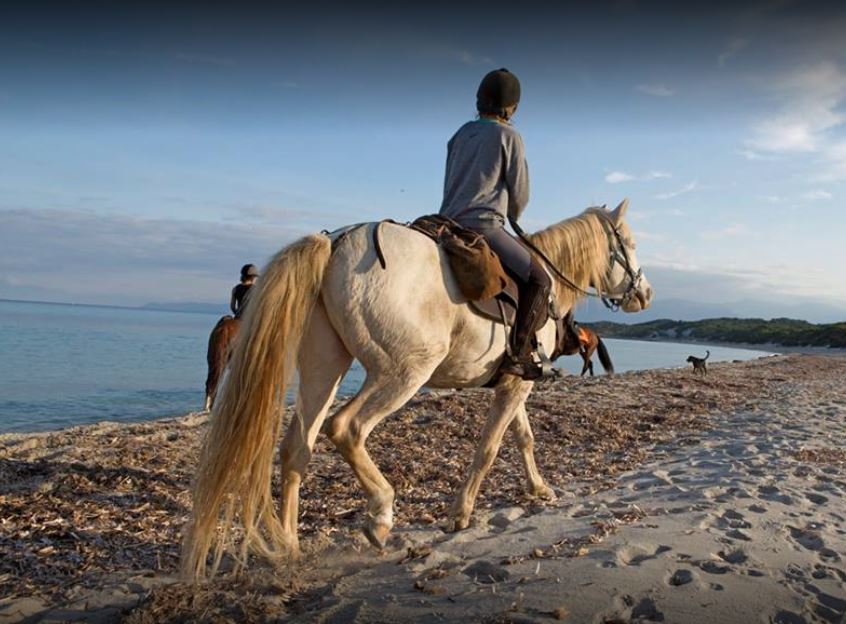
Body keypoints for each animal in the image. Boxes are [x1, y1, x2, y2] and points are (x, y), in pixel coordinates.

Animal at [182, 199, 653, 578]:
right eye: (629, 243)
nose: (645, 293)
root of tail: (338, 243)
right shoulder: (517, 386)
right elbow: (490, 448)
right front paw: (461, 513)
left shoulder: (514, 382)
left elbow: (523, 438)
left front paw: (538, 488)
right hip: (404, 372)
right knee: (346, 428)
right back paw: (380, 516)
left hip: (324, 368)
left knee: (297, 447)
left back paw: (290, 545)